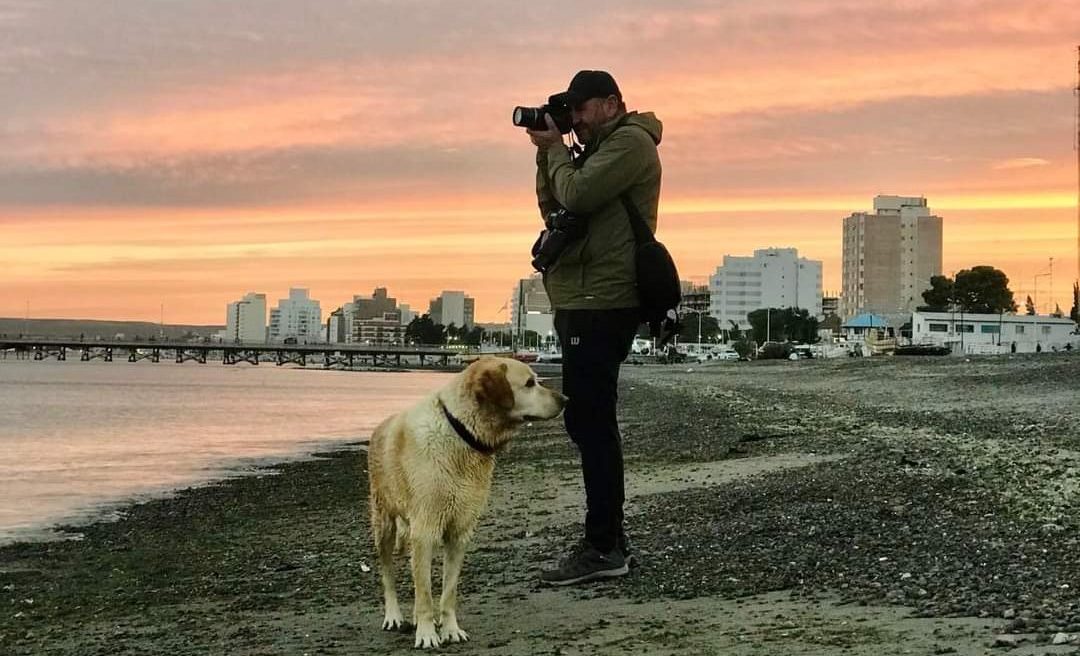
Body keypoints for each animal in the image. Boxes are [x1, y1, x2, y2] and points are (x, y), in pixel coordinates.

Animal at [369, 356, 570, 648]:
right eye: (530, 383)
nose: (565, 399)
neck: (461, 433)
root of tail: (378, 427)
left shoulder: (460, 531)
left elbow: (447, 591)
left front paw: (450, 629)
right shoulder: (425, 530)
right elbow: (424, 592)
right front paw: (427, 634)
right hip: (384, 521)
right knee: (389, 575)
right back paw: (394, 616)